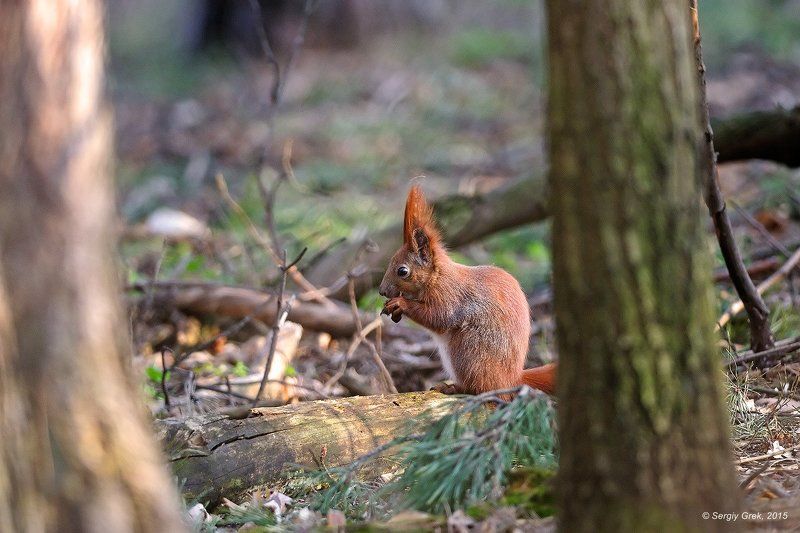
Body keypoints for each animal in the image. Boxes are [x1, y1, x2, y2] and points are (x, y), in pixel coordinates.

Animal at [379, 185, 557, 396]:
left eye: (402, 271)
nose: (381, 291)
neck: (437, 277)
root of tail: (511, 380)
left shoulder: (450, 296)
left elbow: (439, 317)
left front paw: (400, 303)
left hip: (467, 350)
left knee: (478, 388)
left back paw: (453, 387)